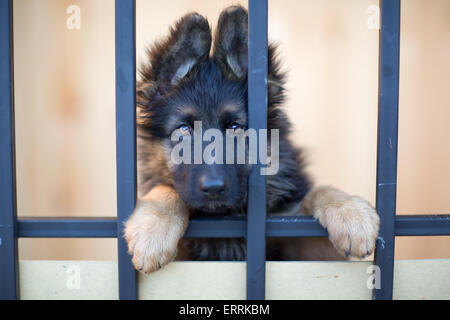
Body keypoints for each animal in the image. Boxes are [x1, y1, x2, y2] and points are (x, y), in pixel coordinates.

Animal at [124, 5, 380, 272]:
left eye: (235, 127)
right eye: (183, 129)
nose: (214, 189)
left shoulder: (302, 244)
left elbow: (317, 192)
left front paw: (348, 210)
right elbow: (166, 188)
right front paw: (153, 227)